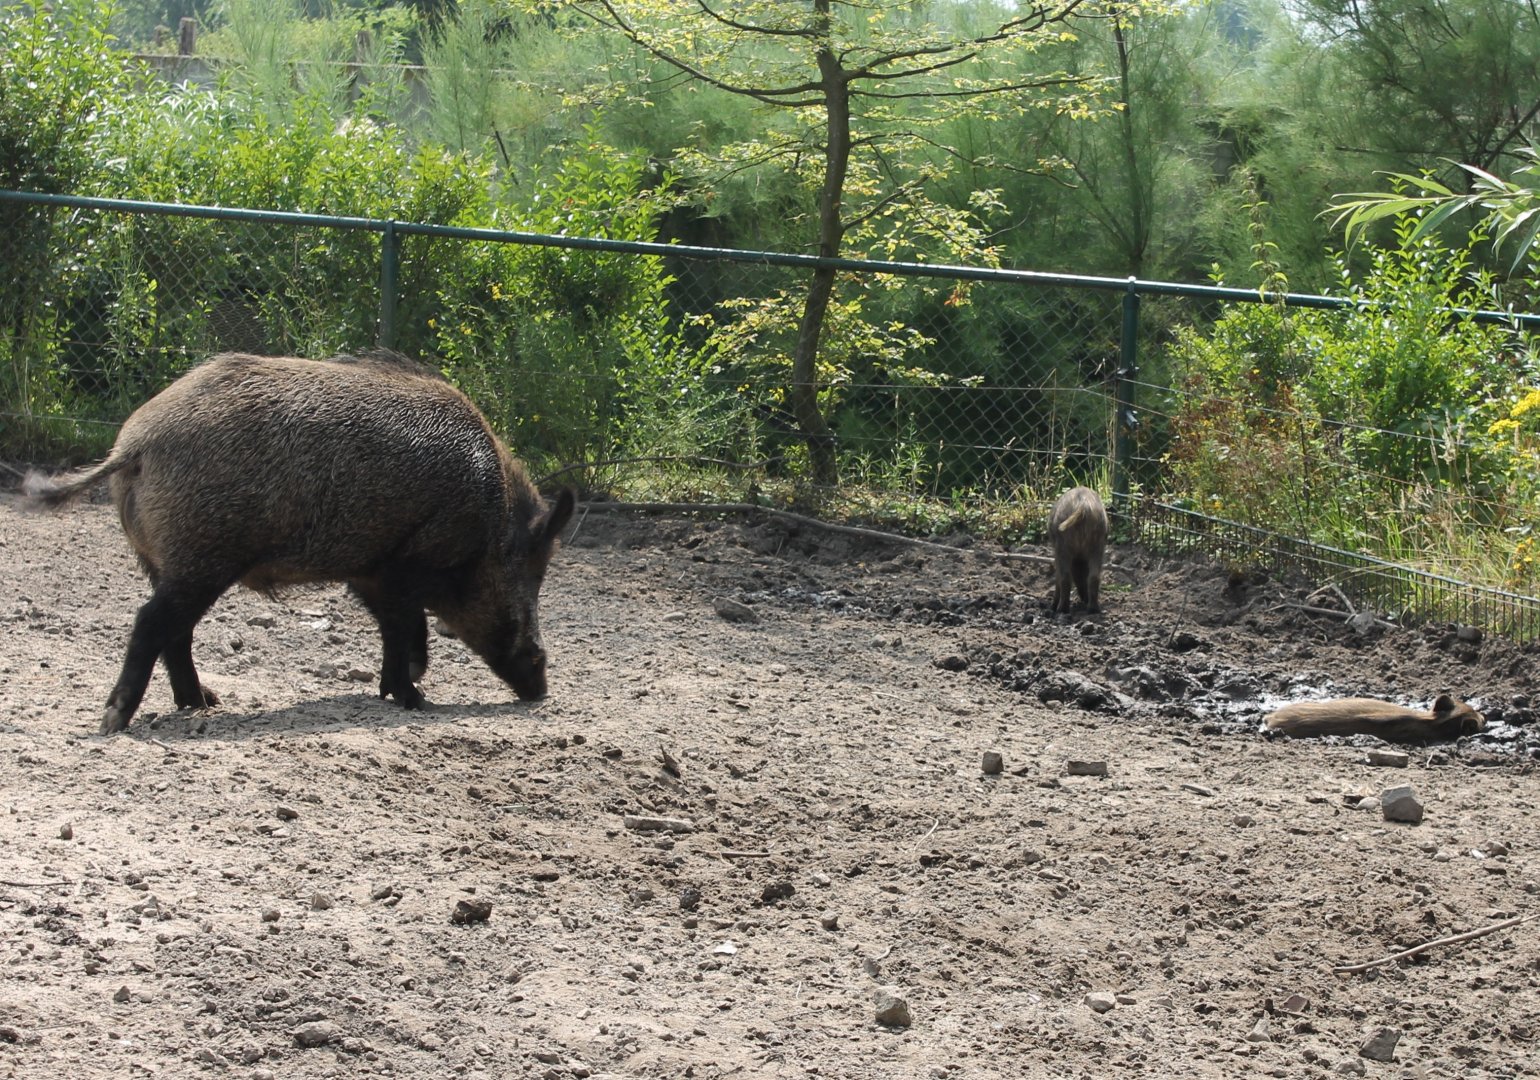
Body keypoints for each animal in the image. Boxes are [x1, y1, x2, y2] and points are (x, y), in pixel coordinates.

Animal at [24, 349, 575, 735]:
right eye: (531, 573)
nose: (541, 686)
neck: (489, 514)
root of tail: (133, 443)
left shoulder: (369, 570)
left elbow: (394, 630)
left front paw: (396, 691)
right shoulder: (407, 561)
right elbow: (406, 627)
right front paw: (415, 697)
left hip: (167, 560)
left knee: (174, 632)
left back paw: (202, 702)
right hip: (204, 554)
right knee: (152, 622)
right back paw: (116, 721)